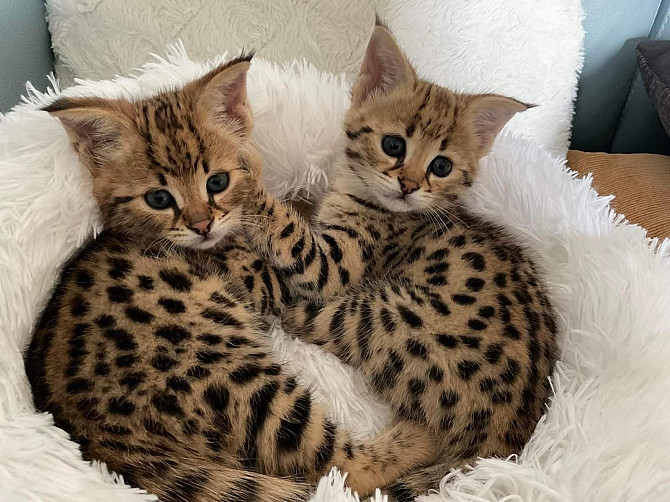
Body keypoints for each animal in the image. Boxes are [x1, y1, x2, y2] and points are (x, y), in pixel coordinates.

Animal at [23, 56, 438, 502]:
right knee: (339, 469)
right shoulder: (269, 283)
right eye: (158, 198)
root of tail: (96, 443)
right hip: (237, 378)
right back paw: (419, 436)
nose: (202, 225)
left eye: (217, 182)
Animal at [247, 23, 560, 498]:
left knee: (314, 319)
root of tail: (504, 443)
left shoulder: (334, 267)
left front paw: (245, 189)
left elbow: (289, 232)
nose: (409, 185)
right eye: (393, 144)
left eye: (442, 166)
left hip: (389, 312)